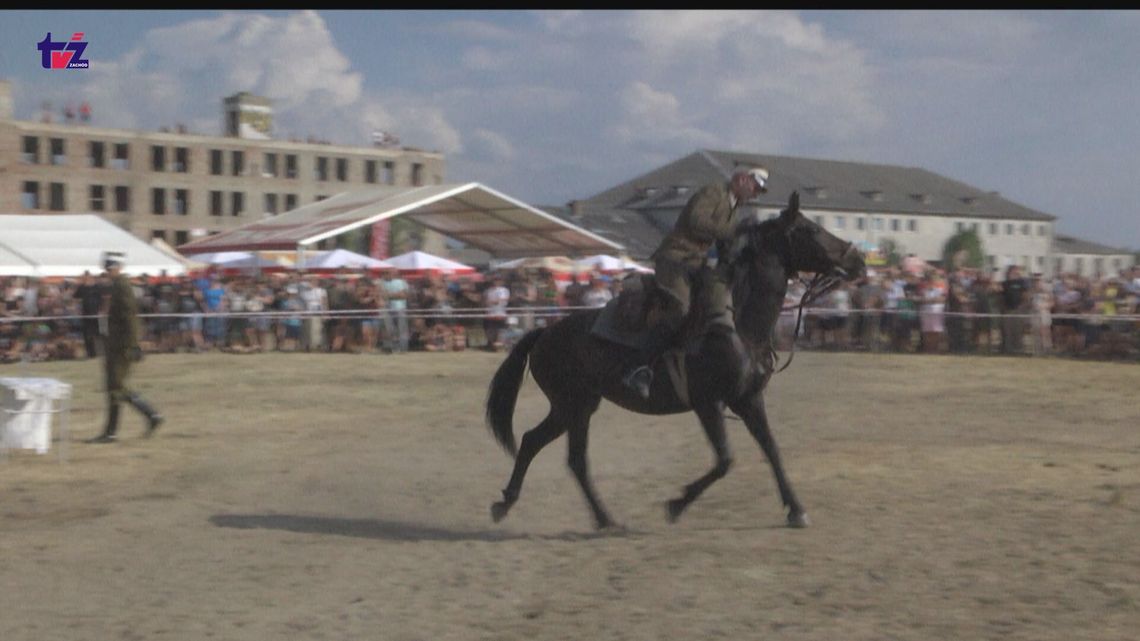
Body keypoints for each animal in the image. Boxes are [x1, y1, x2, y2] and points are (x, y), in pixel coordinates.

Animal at [481, 190, 861, 529]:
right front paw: (677, 504)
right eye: (810, 229)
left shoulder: (749, 399)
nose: (856, 259)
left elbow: (771, 450)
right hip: (572, 406)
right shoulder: (708, 403)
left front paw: (796, 509)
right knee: (565, 456)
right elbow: (725, 460)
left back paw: (556, 511)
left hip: (577, 407)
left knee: (544, 447)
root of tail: (545, 332)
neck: (737, 322)